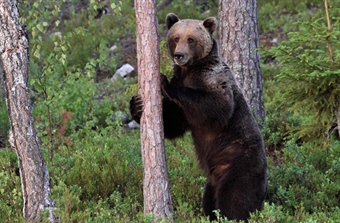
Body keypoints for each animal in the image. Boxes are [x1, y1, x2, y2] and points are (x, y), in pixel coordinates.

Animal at [130, 13, 268, 221]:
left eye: (191, 39)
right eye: (176, 38)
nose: (179, 55)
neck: (191, 70)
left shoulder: (215, 81)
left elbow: (215, 106)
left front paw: (165, 82)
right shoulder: (181, 109)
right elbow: (172, 123)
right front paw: (137, 105)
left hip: (240, 162)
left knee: (235, 199)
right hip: (212, 180)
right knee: (210, 201)